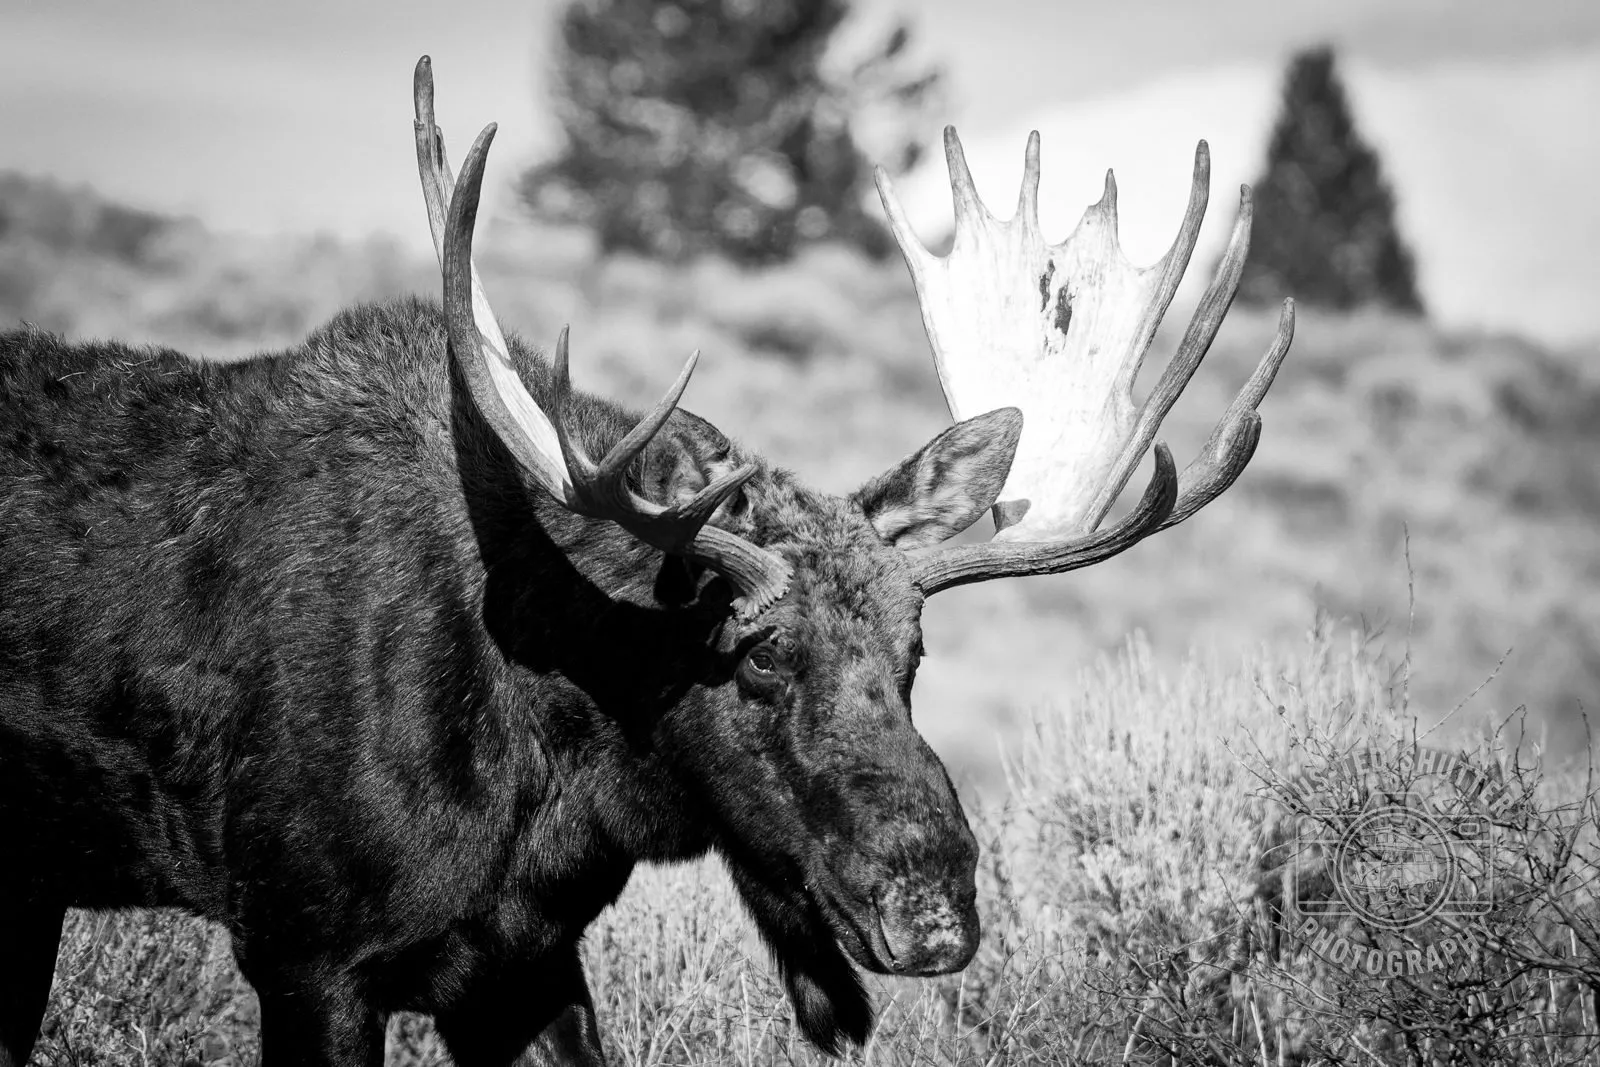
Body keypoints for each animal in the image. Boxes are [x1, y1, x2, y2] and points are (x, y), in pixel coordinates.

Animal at [0, 57, 1293, 1067]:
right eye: (750, 654)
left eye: (915, 650)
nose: (933, 904)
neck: (554, 764)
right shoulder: (305, 945)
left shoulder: (520, 958)